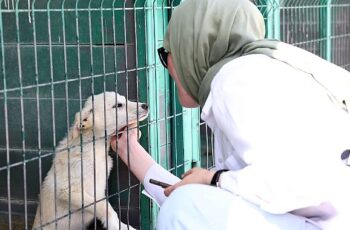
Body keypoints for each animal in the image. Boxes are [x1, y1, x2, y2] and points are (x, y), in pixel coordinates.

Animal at [32, 92, 148, 230]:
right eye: (118, 105)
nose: (146, 105)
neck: (94, 148)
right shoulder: (67, 190)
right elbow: (104, 207)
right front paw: (119, 226)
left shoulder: (98, 190)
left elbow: (104, 204)